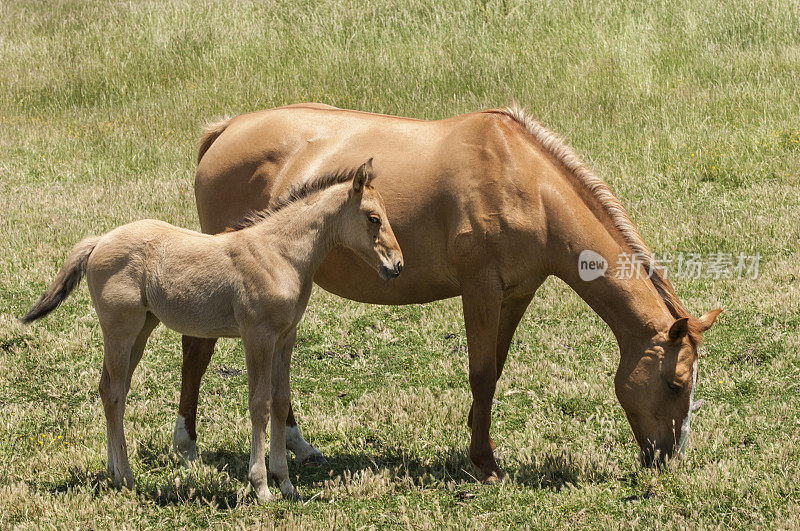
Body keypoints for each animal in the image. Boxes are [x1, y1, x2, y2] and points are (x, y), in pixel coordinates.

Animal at [21, 160, 404, 500]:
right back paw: (127, 478)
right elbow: (260, 404)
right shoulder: (257, 336)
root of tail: (99, 241)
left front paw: (286, 484)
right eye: (373, 218)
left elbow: (281, 404)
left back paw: (113, 472)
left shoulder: (285, 338)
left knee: (110, 388)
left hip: (141, 329)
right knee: (114, 392)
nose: (397, 265)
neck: (279, 254)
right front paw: (262, 487)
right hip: (120, 328)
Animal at [178, 104, 720, 482]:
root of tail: (224, 131)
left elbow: (494, 371)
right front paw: (485, 464)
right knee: (198, 350)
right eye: (676, 384)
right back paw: (187, 444)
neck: (526, 182)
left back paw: (298, 444)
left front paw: (477, 442)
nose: (668, 459)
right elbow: (479, 373)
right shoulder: (480, 288)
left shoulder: (516, 294)